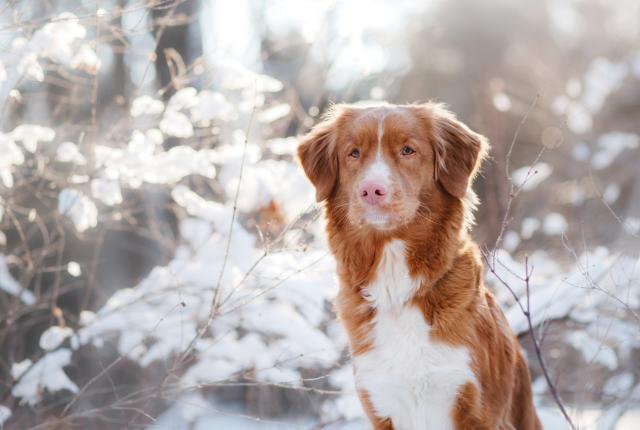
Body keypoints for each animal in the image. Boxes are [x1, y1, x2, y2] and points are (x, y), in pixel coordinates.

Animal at [298, 103, 544, 430]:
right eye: (353, 153)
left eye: (407, 150)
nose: (371, 190)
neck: (397, 288)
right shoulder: (380, 404)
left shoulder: (479, 411)